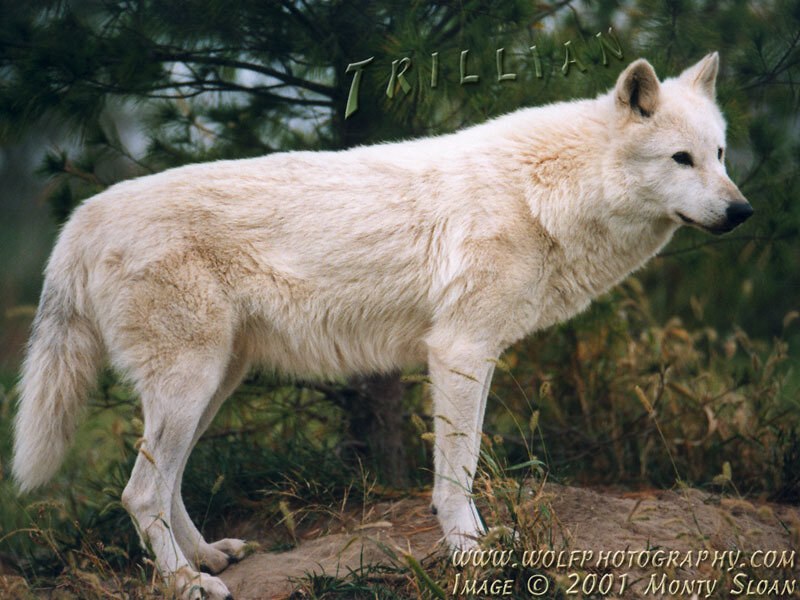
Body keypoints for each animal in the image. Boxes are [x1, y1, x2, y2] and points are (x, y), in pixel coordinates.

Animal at [12, 53, 751, 599]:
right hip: (190, 383)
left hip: (212, 383)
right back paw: (186, 583)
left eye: (720, 154)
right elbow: (457, 472)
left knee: (166, 484)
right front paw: (470, 552)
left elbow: (464, 463)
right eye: (681, 159)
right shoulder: (458, 351)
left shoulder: (475, 354)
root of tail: (80, 218)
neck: (545, 192)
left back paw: (209, 558)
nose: (742, 211)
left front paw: (481, 543)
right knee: (140, 492)